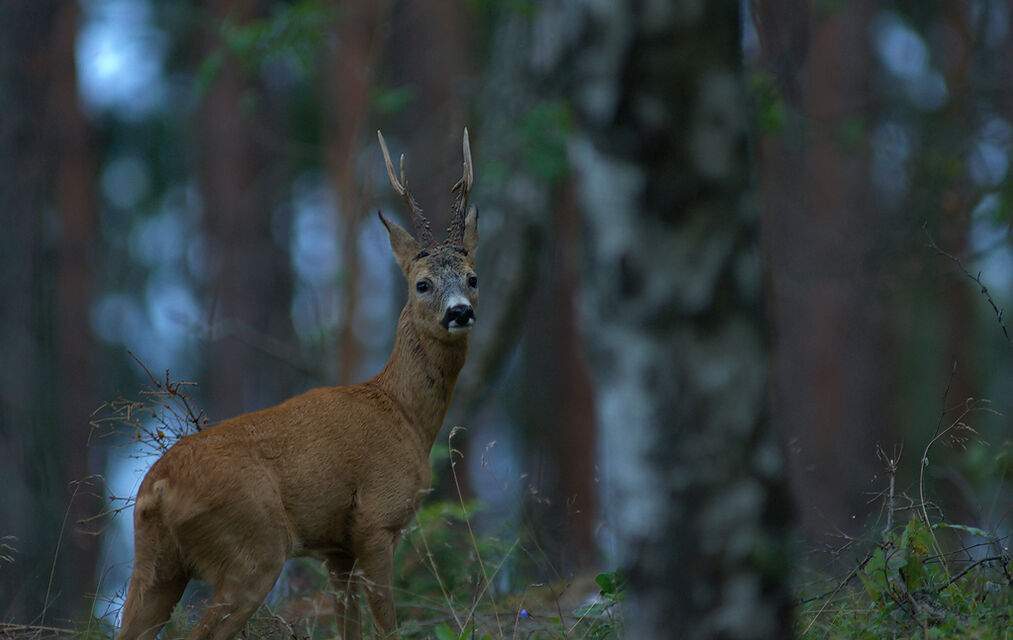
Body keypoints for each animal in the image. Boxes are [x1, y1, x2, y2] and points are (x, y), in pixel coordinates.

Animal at [116, 130, 479, 640]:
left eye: (473, 277)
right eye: (422, 284)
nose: (460, 311)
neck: (404, 414)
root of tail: (159, 489)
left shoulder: (336, 548)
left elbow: (349, 629)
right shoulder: (376, 519)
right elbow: (387, 626)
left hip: (155, 562)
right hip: (254, 548)